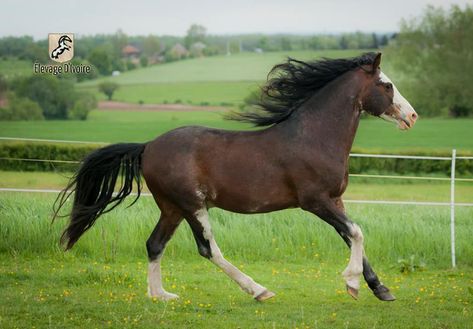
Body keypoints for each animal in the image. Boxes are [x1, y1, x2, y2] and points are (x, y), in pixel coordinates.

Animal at [54, 52, 416, 302]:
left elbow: (352, 236)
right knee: (208, 249)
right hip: (193, 206)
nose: (412, 116)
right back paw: (258, 290)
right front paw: (352, 284)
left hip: (172, 208)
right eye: (387, 85)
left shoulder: (335, 200)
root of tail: (147, 147)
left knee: (154, 244)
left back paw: (161, 296)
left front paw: (380, 289)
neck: (313, 137)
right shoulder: (315, 201)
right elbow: (356, 233)